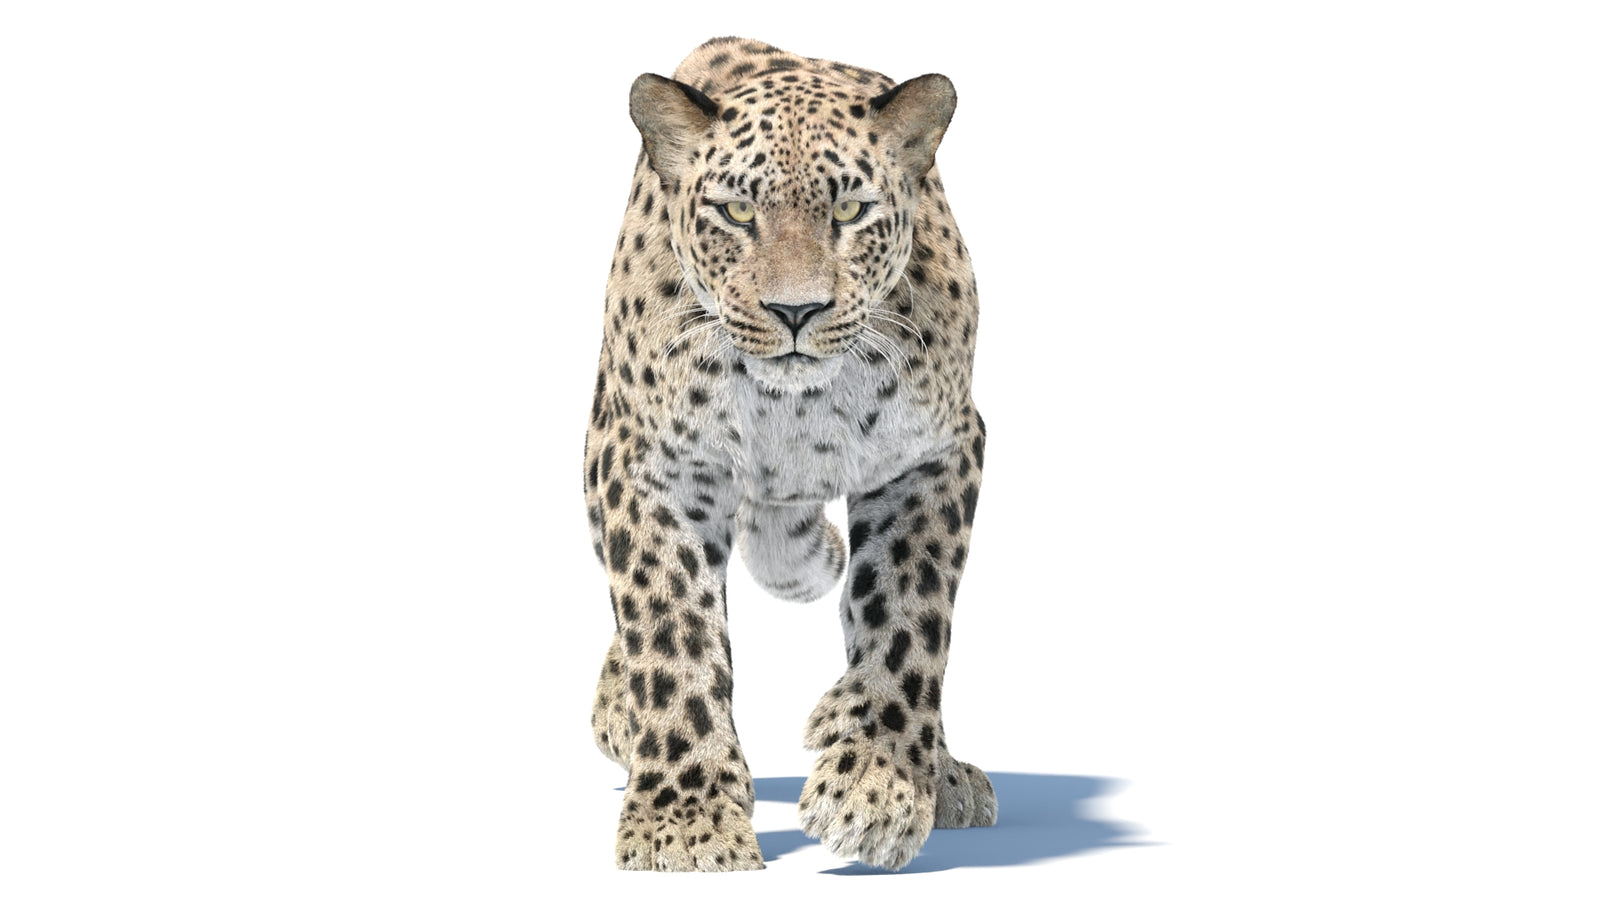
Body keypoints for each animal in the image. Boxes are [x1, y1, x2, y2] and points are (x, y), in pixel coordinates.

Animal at [584, 37, 995, 872]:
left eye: (850, 211)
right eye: (737, 212)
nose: (796, 311)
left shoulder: (937, 453)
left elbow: (909, 616)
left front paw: (876, 784)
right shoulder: (648, 463)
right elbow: (669, 630)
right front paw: (684, 824)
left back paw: (938, 771)